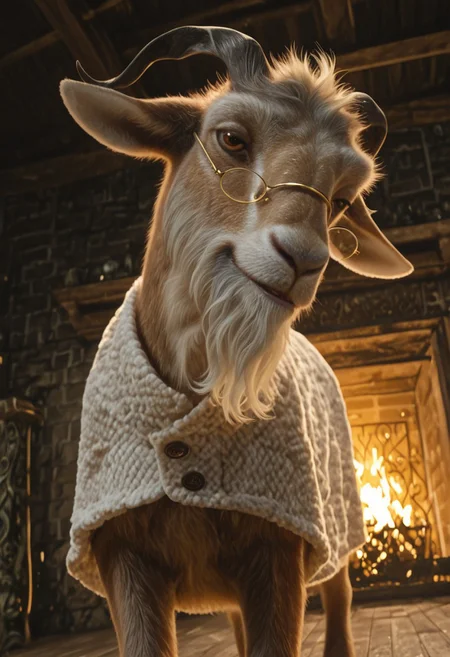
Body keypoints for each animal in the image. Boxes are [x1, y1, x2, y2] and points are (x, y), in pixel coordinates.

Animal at [60, 26, 413, 657]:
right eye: (230, 138)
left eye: (342, 198)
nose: (302, 259)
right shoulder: (122, 551)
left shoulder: (280, 547)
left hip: (340, 521)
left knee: (341, 600)